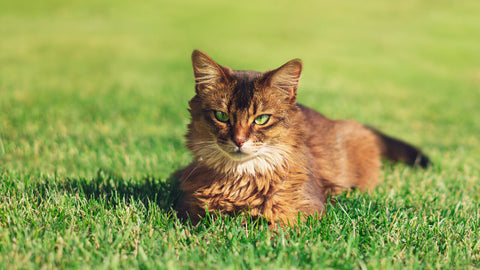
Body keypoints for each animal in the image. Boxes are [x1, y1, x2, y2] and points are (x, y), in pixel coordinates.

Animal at [176, 49, 432, 227]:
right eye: (221, 116)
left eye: (261, 119)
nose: (239, 141)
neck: (240, 180)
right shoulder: (190, 208)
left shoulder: (304, 210)